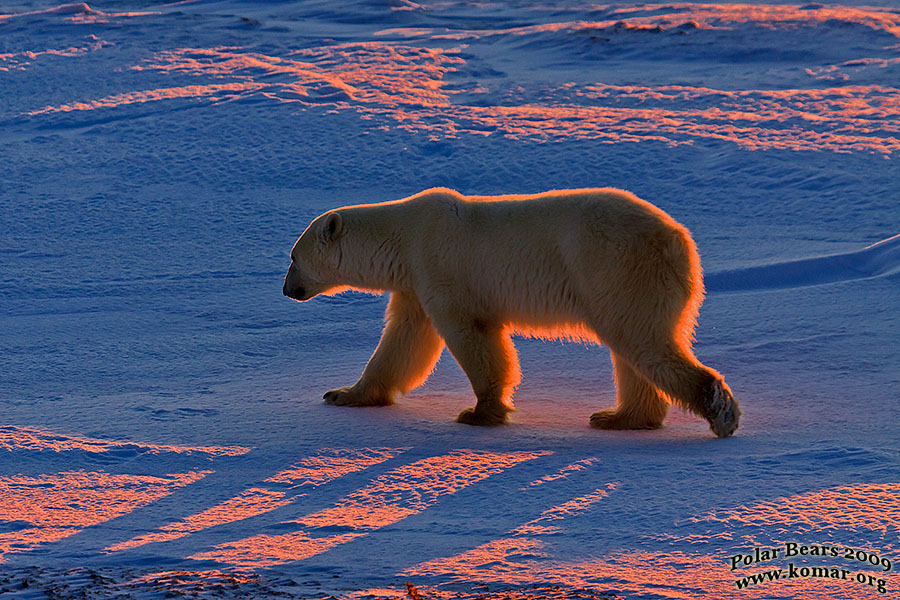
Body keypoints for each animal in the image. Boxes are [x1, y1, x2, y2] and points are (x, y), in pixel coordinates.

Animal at [284, 188, 740, 436]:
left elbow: (471, 336)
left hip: (617, 267)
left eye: (292, 257)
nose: (287, 290)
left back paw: (719, 411)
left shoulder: (441, 267)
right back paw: (619, 417)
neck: (403, 237)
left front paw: (479, 412)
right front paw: (343, 394)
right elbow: (403, 340)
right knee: (631, 349)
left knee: (643, 342)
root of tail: (679, 241)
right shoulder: (414, 283)